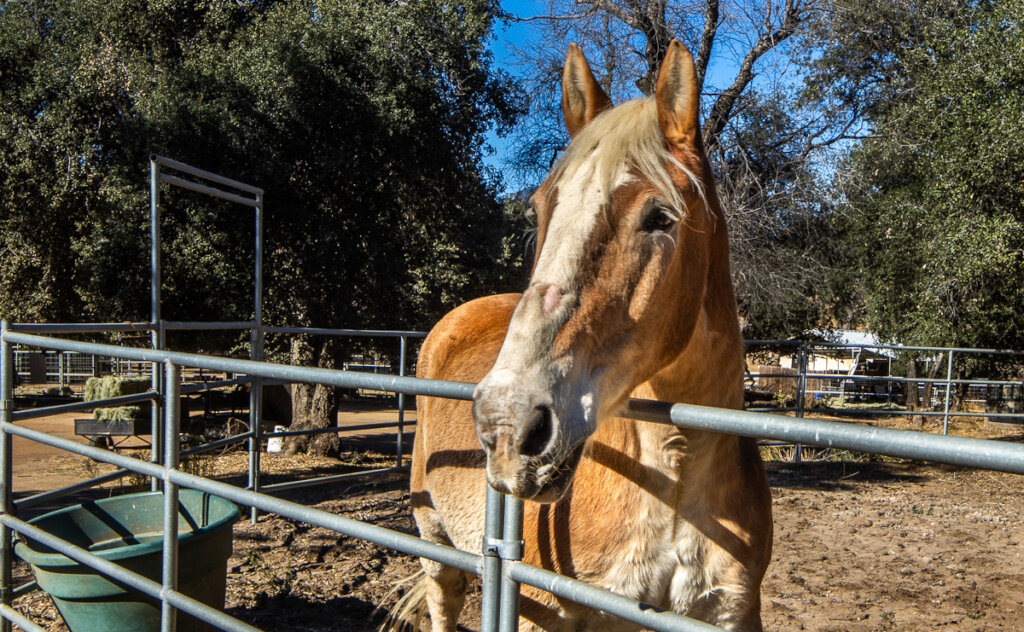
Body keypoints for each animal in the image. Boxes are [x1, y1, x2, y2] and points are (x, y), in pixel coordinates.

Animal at [399, 40, 773, 631]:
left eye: (660, 216)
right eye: (539, 208)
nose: (507, 424)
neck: (674, 489)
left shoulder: (732, 614)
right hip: (435, 541)